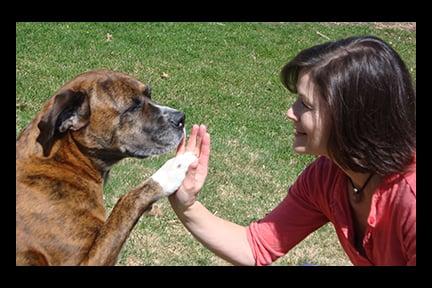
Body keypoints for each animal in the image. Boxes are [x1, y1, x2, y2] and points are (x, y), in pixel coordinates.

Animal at [16, 70, 197, 266]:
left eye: (149, 94)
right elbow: (127, 201)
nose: (181, 118)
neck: (66, 159)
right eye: (133, 107)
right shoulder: (85, 261)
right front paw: (172, 170)